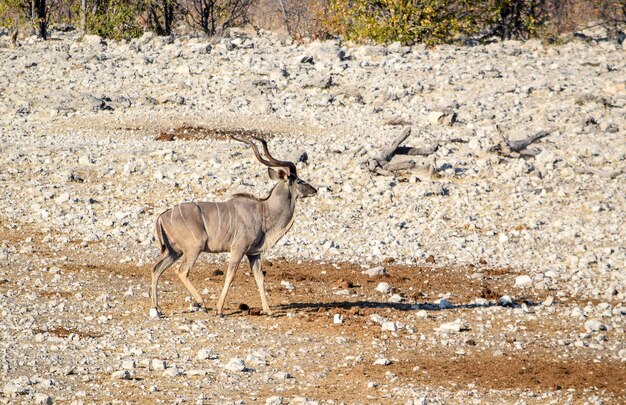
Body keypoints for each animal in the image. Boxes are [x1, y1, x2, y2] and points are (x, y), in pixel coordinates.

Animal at [151, 136, 314, 316]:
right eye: (299, 180)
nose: (314, 190)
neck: (264, 211)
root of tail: (162, 216)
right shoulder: (238, 249)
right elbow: (230, 274)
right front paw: (219, 309)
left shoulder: (253, 254)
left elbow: (260, 277)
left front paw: (269, 311)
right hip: (194, 248)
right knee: (182, 271)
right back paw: (202, 303)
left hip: (174, 251)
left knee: (156, 269)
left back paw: (156, 308)